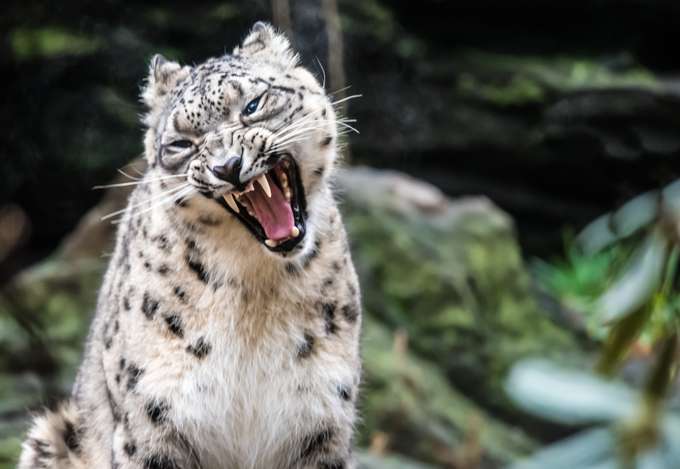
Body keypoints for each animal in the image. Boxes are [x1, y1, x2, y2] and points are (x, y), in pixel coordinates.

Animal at [18, 21, 362, 469]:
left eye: (252, 104)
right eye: (181, 143)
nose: (227, 166)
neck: (257, 287)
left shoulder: (322, 419)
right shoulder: (153, 420)